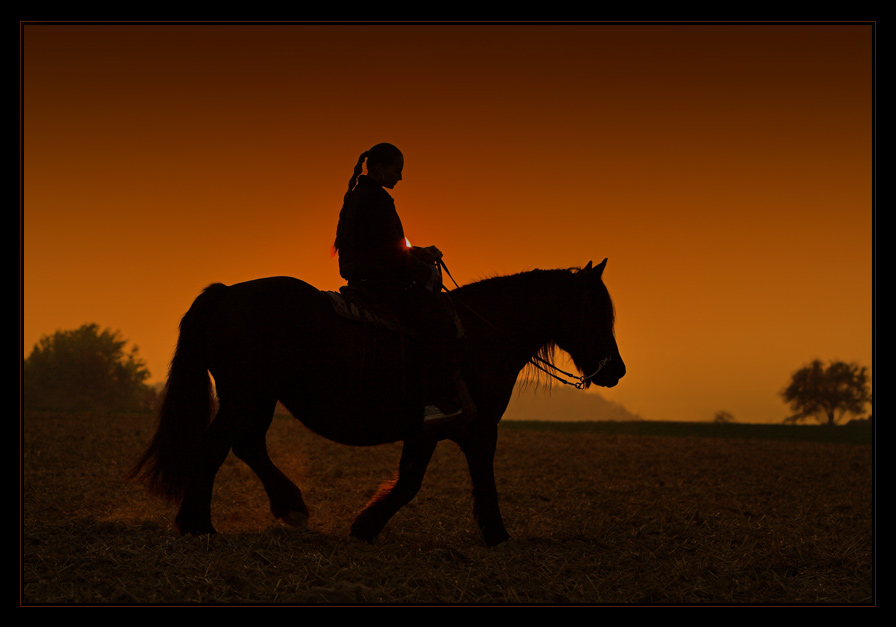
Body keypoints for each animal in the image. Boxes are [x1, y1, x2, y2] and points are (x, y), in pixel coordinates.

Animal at [130, 258, 628, 548]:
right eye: (595, 310)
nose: (615, 370)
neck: (479, 334)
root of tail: (228, 293)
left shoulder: (446, 429)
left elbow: (424, 478)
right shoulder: (466, 426)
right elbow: (422, 482)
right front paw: (495, 534)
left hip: (254, 397)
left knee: (244, 445)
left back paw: (282, 506)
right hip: (246, 395)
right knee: (217, 447)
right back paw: (199, 523)